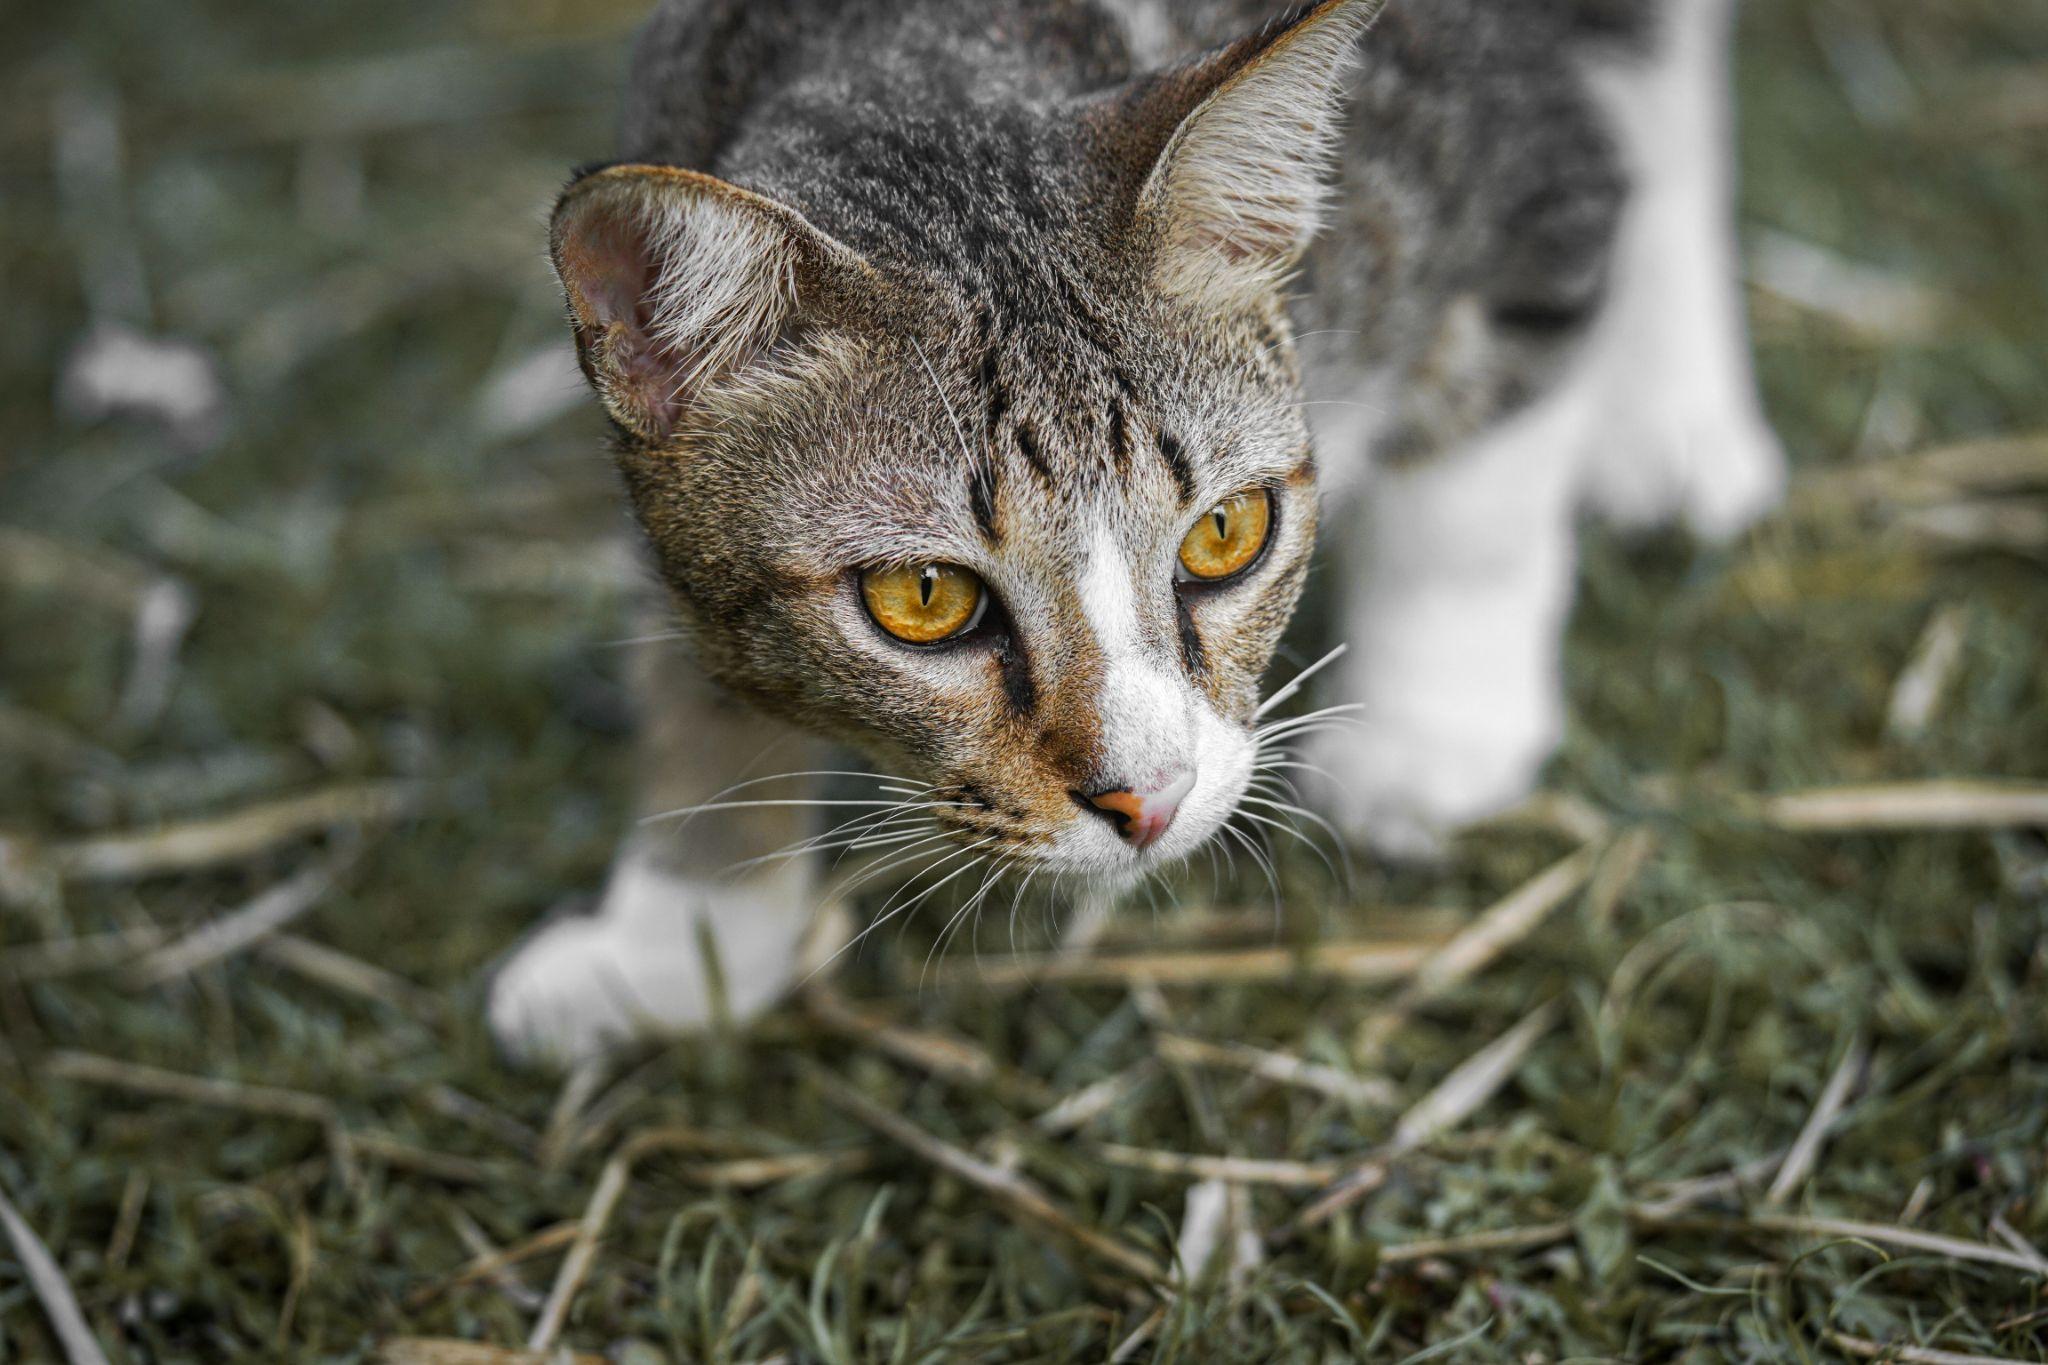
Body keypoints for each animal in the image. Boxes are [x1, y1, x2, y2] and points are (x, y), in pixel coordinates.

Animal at [491, 0, 1777, 1064]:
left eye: (1225, 533)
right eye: (922, 598)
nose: (1147, 802)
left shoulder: (1516, 174)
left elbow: (1474, 497)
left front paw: (1432, 736)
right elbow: (688, 664)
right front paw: (680, 940)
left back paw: (1672, 421)